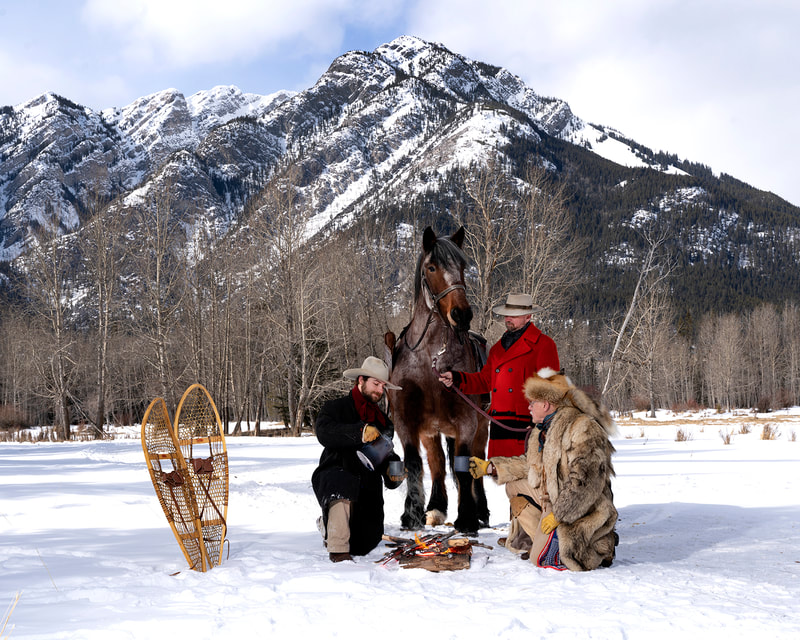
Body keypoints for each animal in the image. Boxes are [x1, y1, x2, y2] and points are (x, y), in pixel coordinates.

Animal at [382, 228, 488, 532]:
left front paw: (467, 517)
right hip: (431, 432)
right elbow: (415, 463)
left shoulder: (466, 422)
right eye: (432, 267)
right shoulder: (408, 422)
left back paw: (481, 510)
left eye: (462, 266)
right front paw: (412, 514)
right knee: (438, 463)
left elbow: (465, 468)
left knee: (476, 463)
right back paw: (436, 508)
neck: (431, 359)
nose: (462, 314)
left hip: (481, 428)